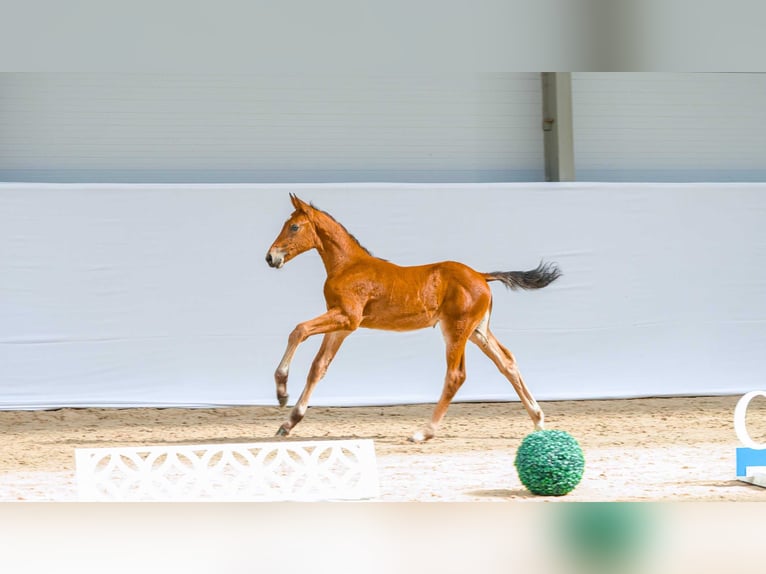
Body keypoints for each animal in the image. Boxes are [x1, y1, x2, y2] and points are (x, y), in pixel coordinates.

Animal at [265, 194, 561, 442]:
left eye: (294, 227)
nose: (271, 257)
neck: (348, 265)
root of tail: (481, 275)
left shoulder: (347, 318)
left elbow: (299, 330)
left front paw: (282, 392)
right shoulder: (342, 326)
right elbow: (319, 367)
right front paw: (289, 422)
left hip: (456, 330)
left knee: (456, 375)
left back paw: (424, 432)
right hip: (478, 332)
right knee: (507, 362)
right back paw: (538, 420)